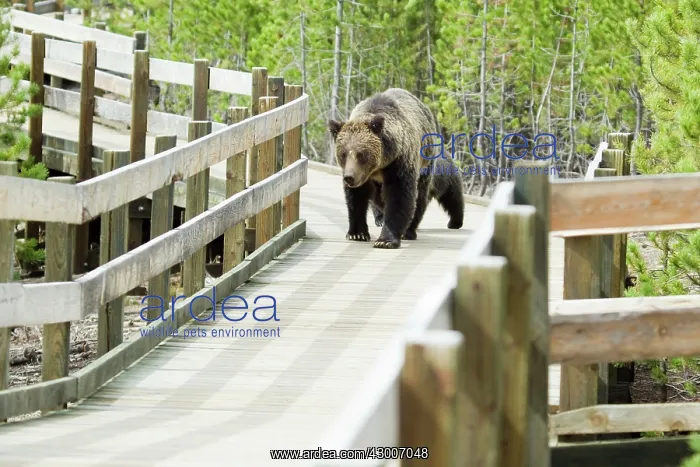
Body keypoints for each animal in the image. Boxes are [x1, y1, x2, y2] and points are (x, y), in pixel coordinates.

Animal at [328, 88, 464, 249]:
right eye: (343, 154)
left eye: (361, 154)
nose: (349, 177)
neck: (379, 166)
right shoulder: (363, 176)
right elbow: (357, 198)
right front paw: (358, 233)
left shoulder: (399, 162)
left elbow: (399, 195)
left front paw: (385, 240)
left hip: (426, 165)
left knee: (423, 197)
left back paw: (410, 231)